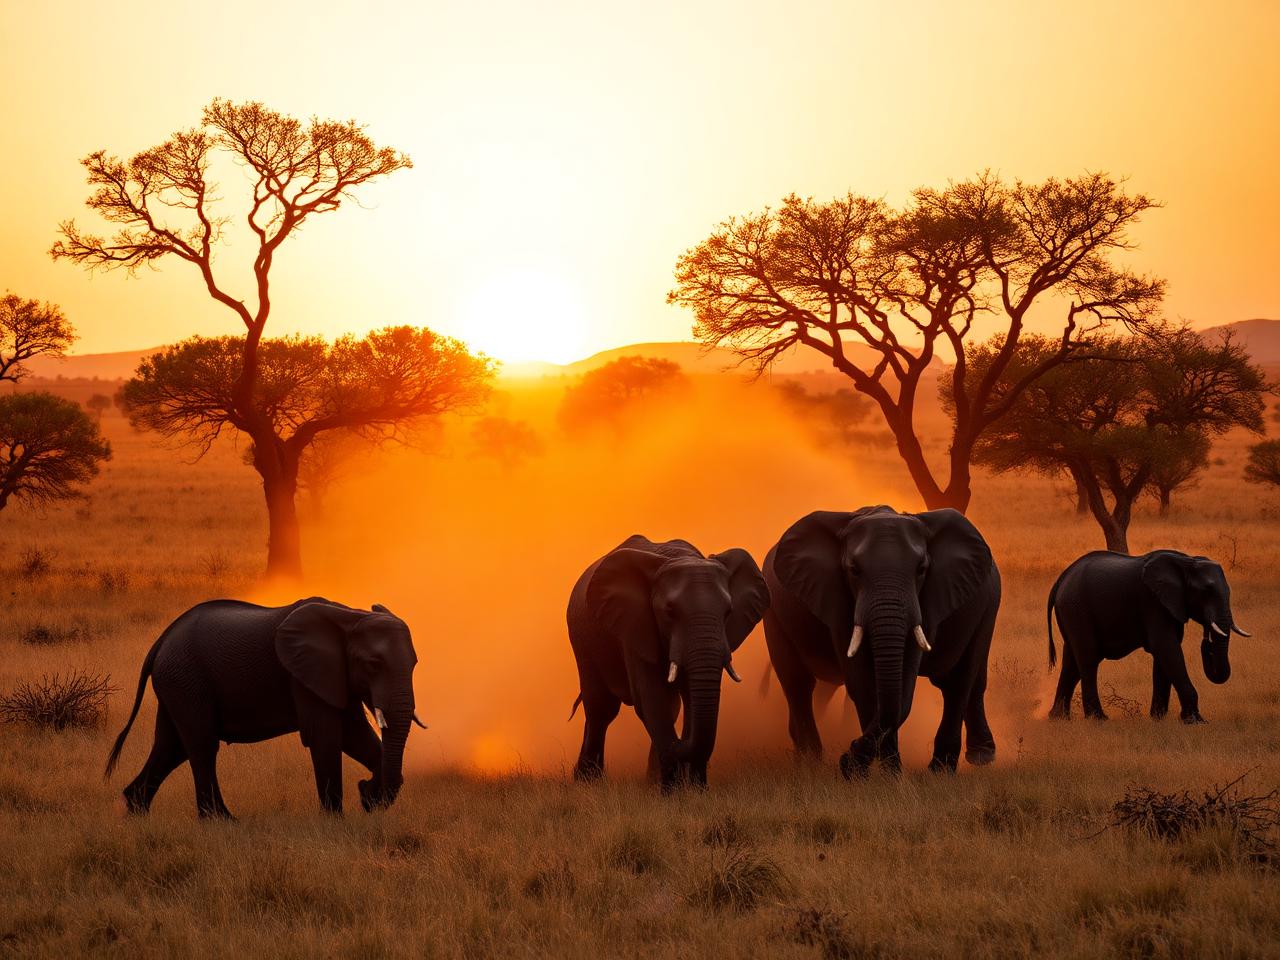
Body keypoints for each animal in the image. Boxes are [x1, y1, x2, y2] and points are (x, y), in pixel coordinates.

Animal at [105, 597, 425, 817]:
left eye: (414, 664)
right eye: (373, 664)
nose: (366, 790)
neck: (350, 616)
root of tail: (160, 642)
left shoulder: (333, 675)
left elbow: (355, 736)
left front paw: (368, 798)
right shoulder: (302, 675)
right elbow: (326, 738)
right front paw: (336, 822)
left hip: (178, 683)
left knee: (171, 747)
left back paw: (135, 811)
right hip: (186, 680)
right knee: (201, 745)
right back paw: (222, 821)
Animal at [567, 535, 770, 790]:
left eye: (728, 612)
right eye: (669, 612)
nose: (679, 743)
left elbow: (688, 701)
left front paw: (696, 790)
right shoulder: (635, 626)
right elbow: (652, 699)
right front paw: (671, 791)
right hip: (582, 639)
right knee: (601, 709)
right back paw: (587, 783)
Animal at [762, 506, 1000, 777]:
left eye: (921, 569)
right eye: (854, 570)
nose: (845, 756)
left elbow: (901, 689)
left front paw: (874, 772)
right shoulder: (837, 600)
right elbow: (864, 684)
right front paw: (877, 774)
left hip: (988, 606)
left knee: (961, 679)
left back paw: (957, 766)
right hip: (774, 613)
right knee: (797, 682)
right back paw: (810, 762)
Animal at [1047, 550, 1251, 722]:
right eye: (1207, 591)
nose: (1207, 639)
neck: (1187, 561)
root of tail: (1060, 580)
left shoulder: (1169, 605)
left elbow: (1164, 655)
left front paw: (1158, 719)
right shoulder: (1154, 603)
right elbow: (1166, 648)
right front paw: (1195, 721)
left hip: (1071, 612)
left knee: (1071, 663)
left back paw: (1059, 719)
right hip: (1077, 609)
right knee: (1088, 659)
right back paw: (1098, 719)